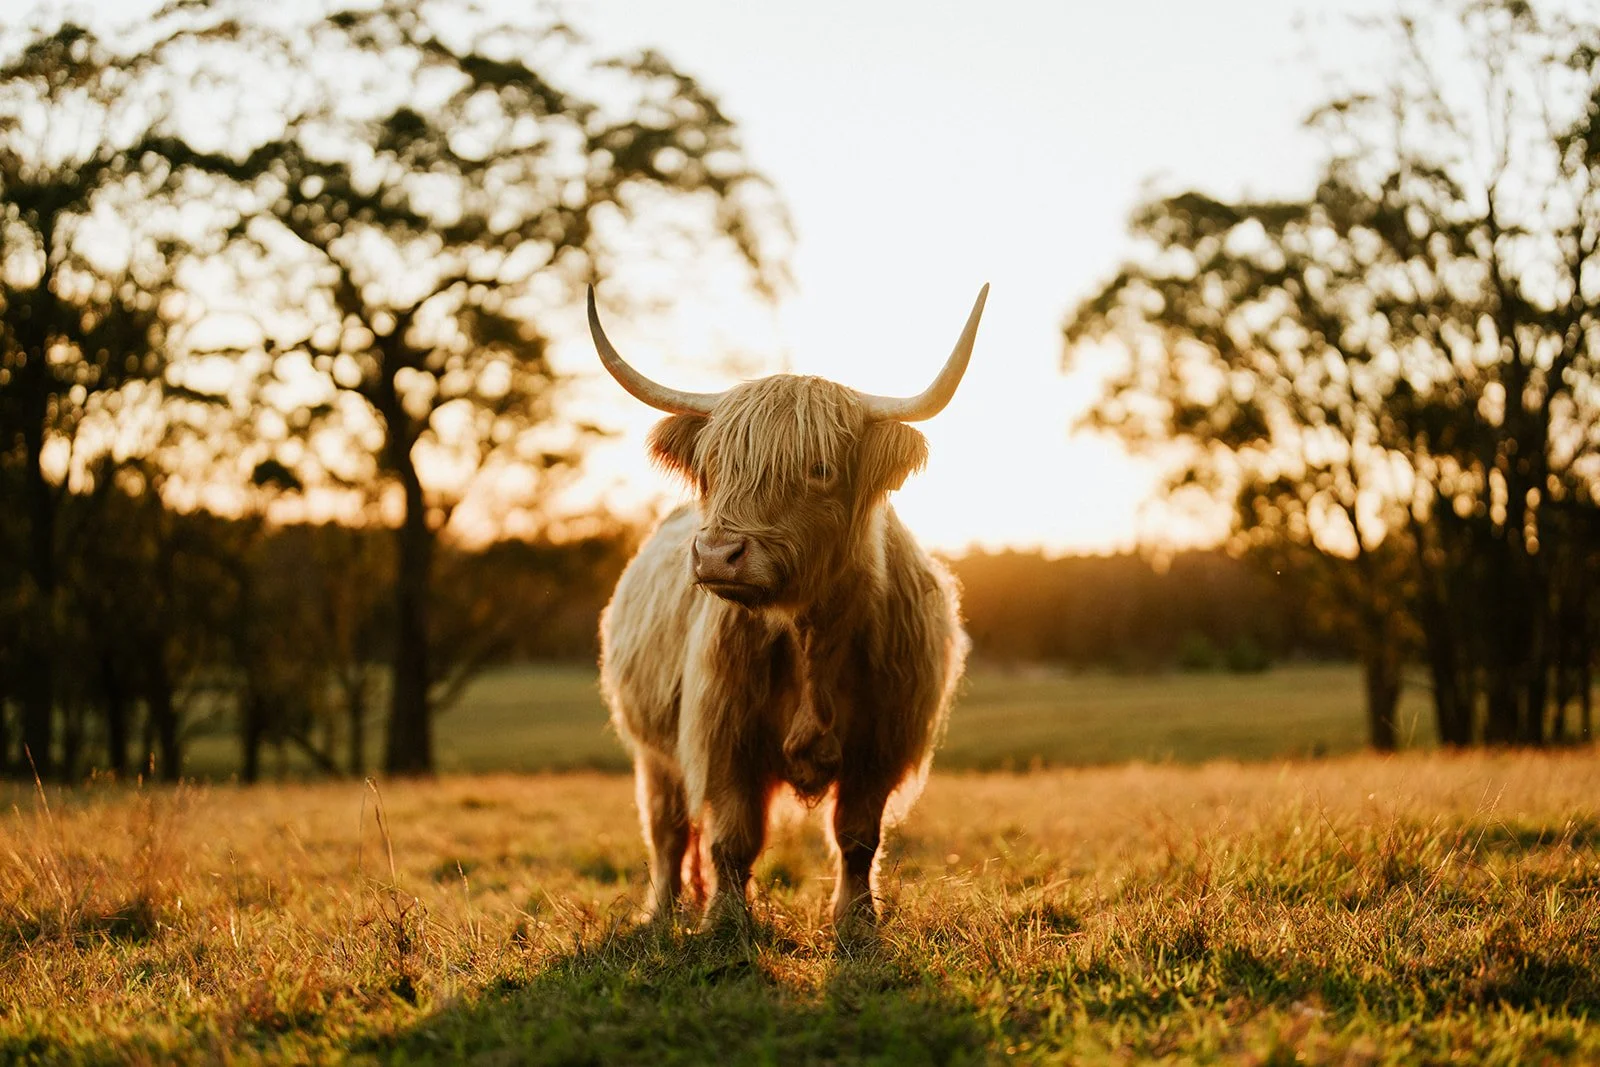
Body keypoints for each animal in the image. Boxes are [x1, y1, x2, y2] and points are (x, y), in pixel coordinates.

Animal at [589, 283, 986, 937]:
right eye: (714, 467)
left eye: (819, 469)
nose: (718, 555)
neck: (809, 632)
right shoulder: (722, 735)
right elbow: (732, 837)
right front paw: (725, 924)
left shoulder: (881, 743)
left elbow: (858, 837)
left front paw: (857, 921)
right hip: (654, 754)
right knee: (668, 831)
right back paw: (662, 914)